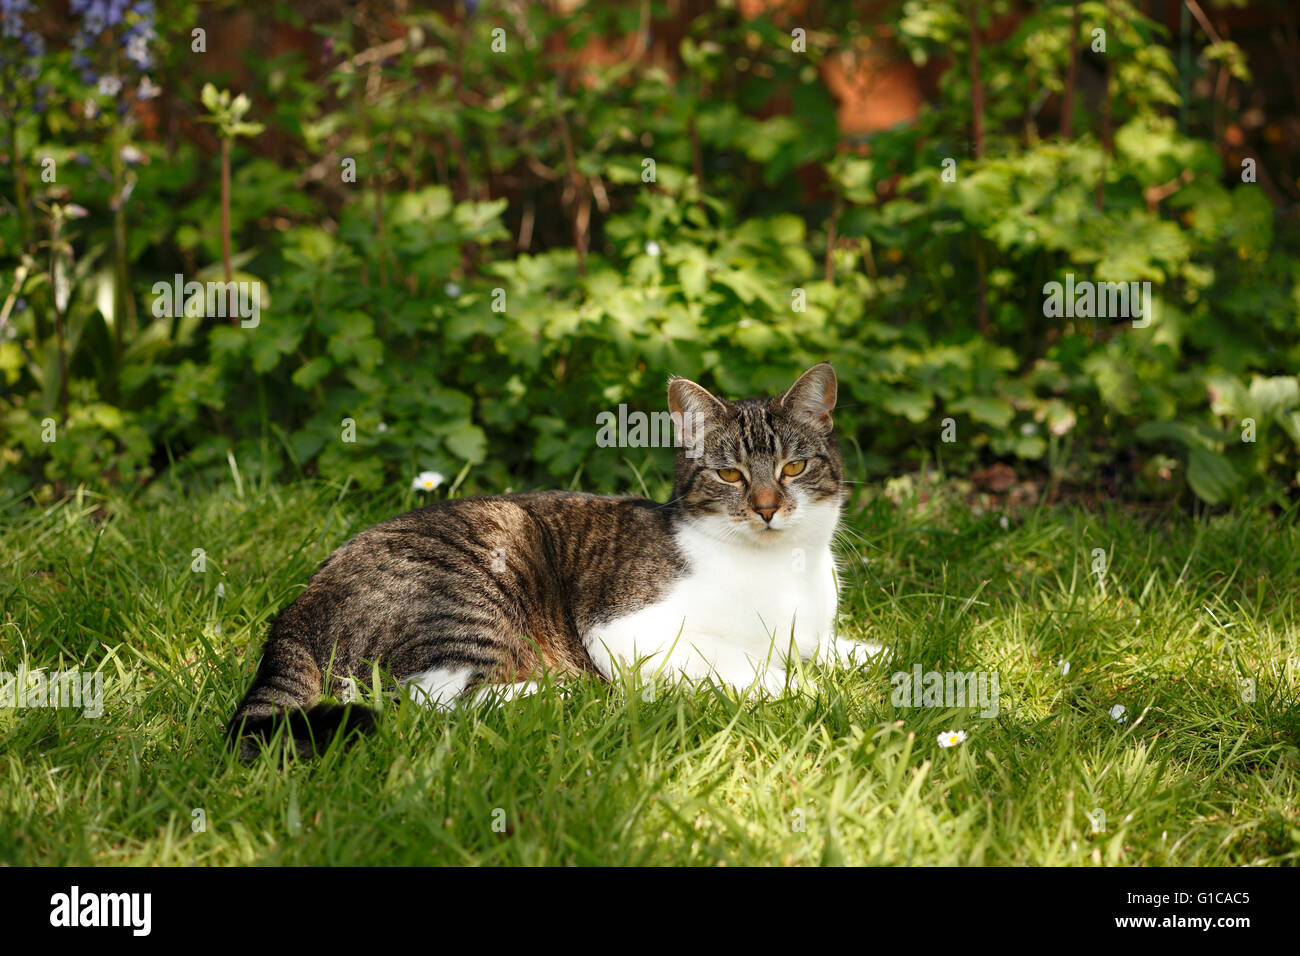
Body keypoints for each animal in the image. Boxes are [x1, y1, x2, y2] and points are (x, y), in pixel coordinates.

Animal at [226, 361, 873, 759]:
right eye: (731, 475)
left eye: (793, 467)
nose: (767, 508)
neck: (780, 568)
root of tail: (293, 611)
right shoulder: (627, 632)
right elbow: (745, 668)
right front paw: (807, 691)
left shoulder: (810, 631)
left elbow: (828, 648)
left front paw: (864, 658)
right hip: (474, 591)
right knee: (432, 701)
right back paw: (568, 695)